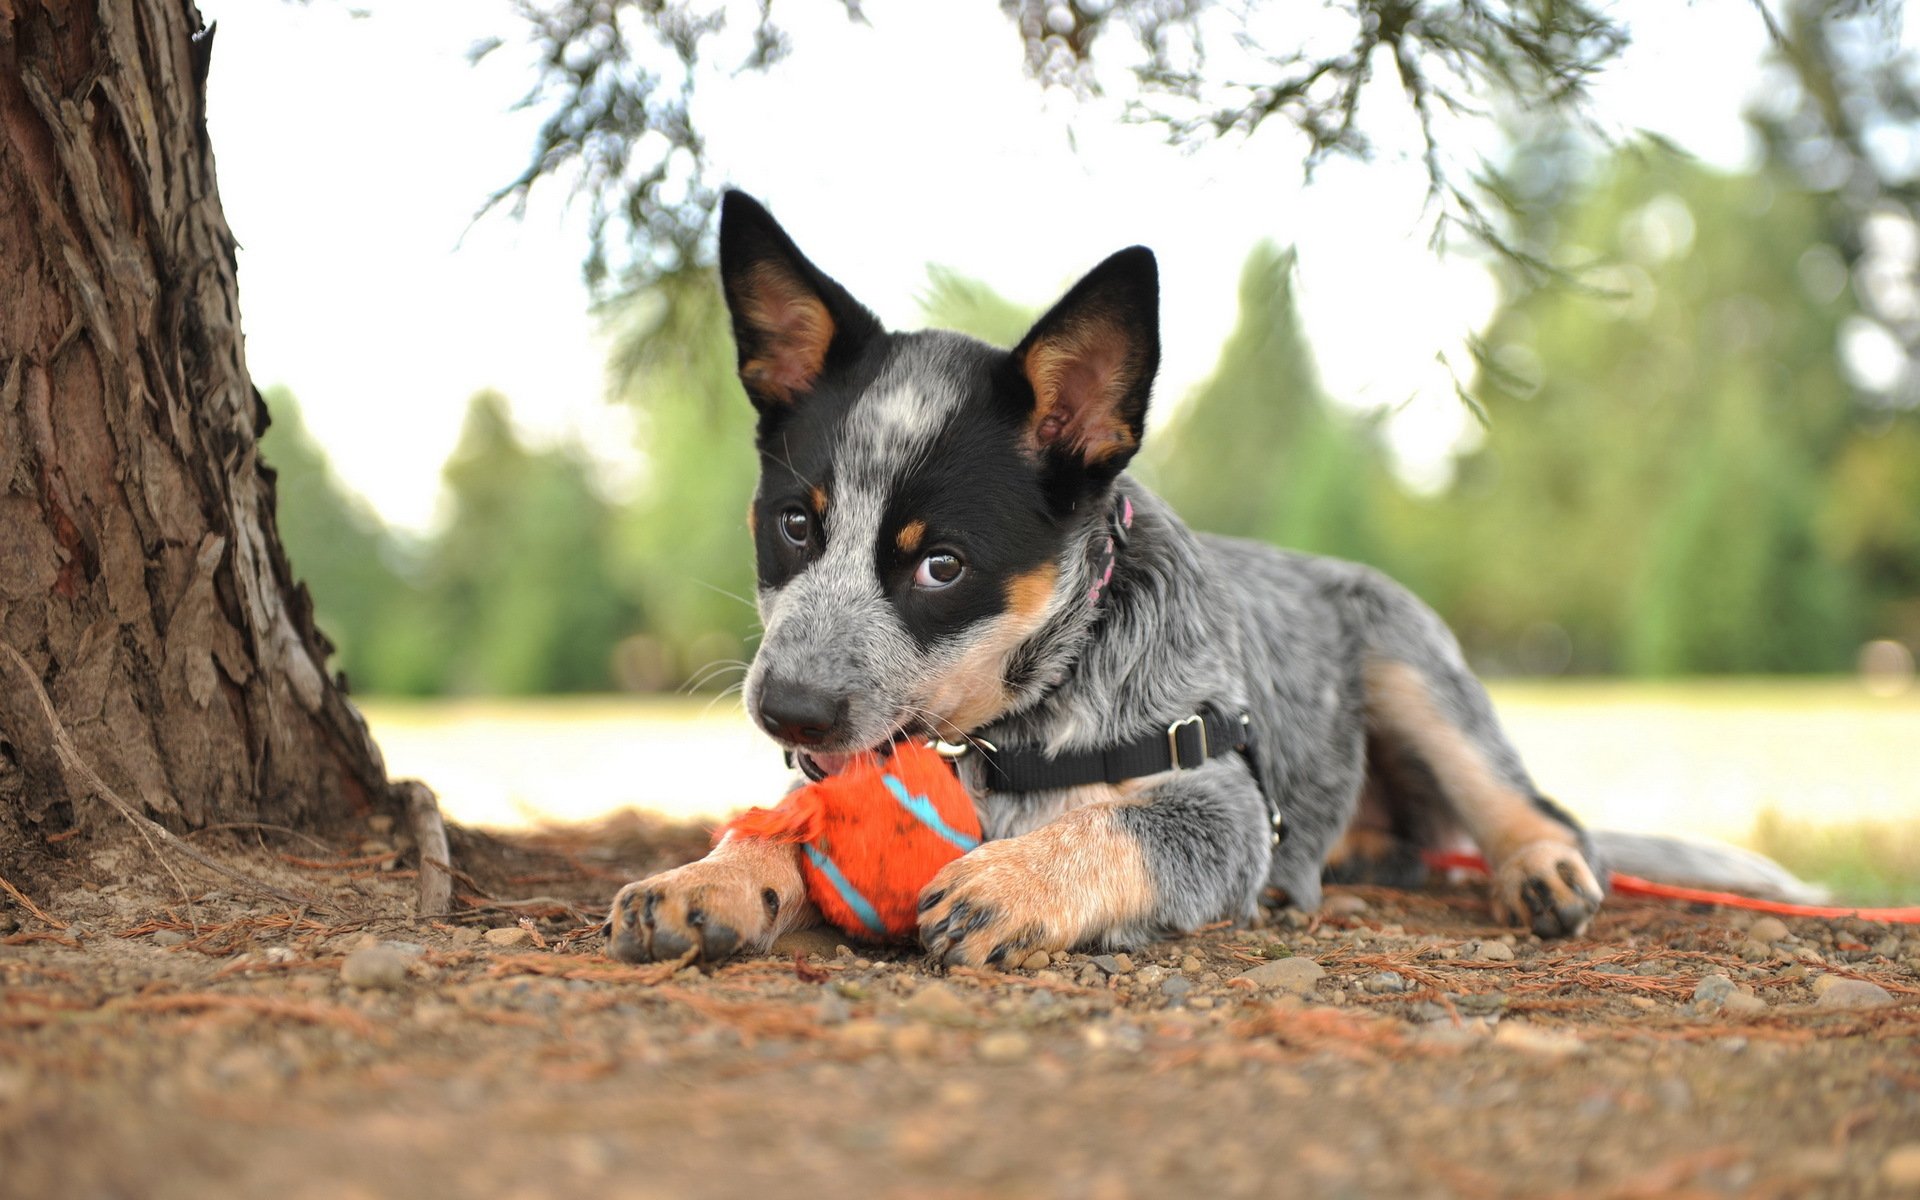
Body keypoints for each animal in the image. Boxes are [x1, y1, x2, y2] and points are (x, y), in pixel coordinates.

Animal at [606, 192, 1612, 967]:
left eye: (942, 564)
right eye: (796, 524)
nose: (789, 710)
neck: (1009, 735)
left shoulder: (1224, 806)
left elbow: (1124, 827)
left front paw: (1014, 881)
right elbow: (780, 820)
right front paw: (709, 877)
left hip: (1412, 670)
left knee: (1536, 807)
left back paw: (1541, 870)